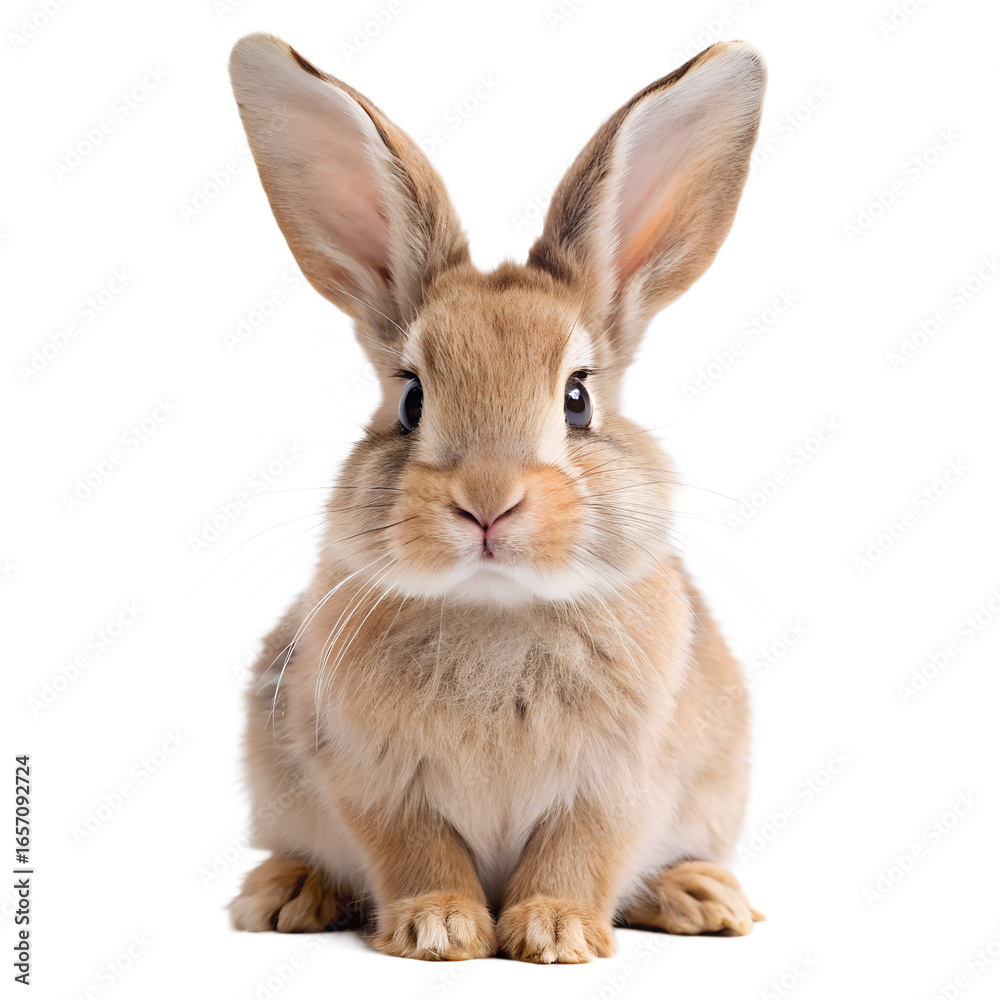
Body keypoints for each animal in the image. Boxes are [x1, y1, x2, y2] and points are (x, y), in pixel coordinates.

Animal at [226, 32, 767, 963]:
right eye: (411, 399)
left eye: (577, 399)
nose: (487, 503)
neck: (496, 610)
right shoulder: (370, 779)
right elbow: (414, 848)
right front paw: (438, 928)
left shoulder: (620, 783)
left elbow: (579, 851)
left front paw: (555, 933)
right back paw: (283, 894)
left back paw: (703, 897)